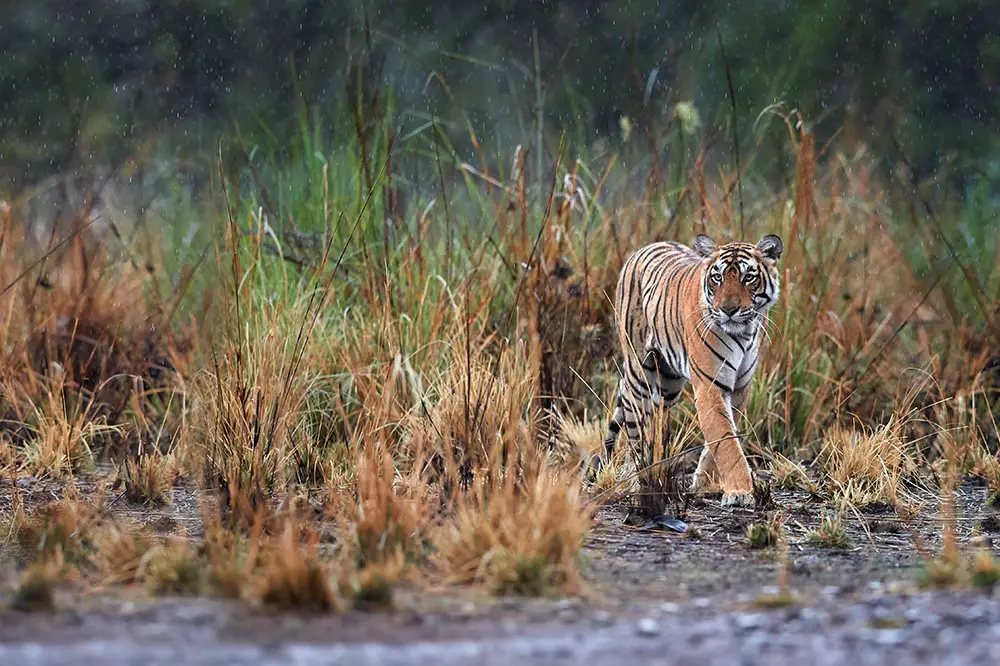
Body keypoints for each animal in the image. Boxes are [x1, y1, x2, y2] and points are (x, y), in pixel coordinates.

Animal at [596, 232, 784, 504]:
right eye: (718, 277)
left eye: (748, 277)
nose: (728, 310)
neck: (746, 331)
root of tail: (644, 247)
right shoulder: (710, 386)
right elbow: (726, 441)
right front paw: (739, 492)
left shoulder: (739, 387)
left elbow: (722, 438)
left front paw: (703, 484)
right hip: (639, 373)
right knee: (634, 428)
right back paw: (637, 480)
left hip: (668, 383)